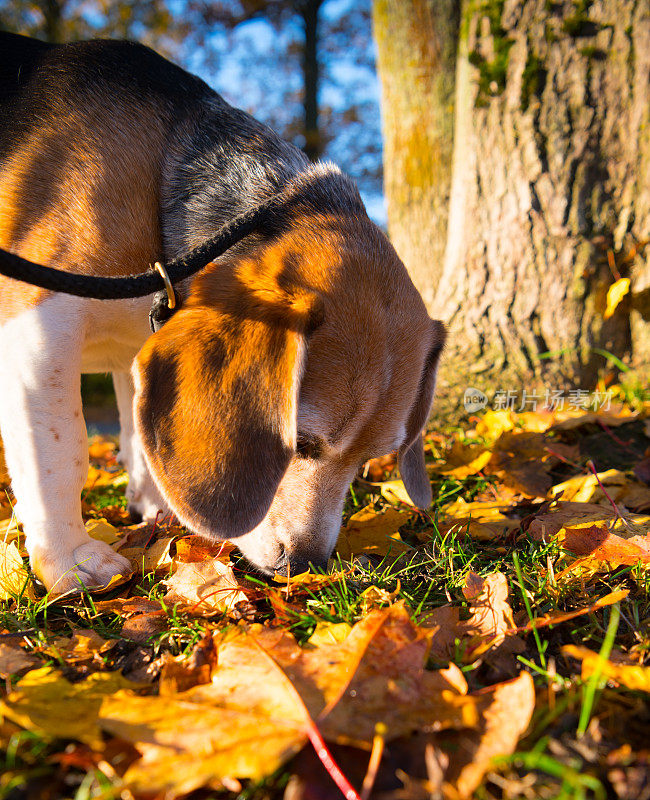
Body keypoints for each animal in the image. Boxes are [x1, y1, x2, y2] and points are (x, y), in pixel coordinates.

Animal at [0, 32, 446, 592]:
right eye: (299, 443)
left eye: (370, 458)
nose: (306, 564)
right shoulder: (39, 328)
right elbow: (63, 453)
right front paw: (71, 562)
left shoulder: (138, 348)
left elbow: (139, 436)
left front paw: (158, 513)